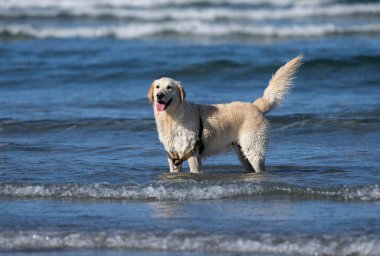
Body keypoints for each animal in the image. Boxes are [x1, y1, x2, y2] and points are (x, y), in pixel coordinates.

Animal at [147, 55, 302, 173]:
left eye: (169, 87)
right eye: (157, 87)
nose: (159, 95)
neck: (172, 116)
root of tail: (256, 106)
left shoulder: (191, 153)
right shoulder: (172, 156)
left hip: (253, 149)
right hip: (242, 153)